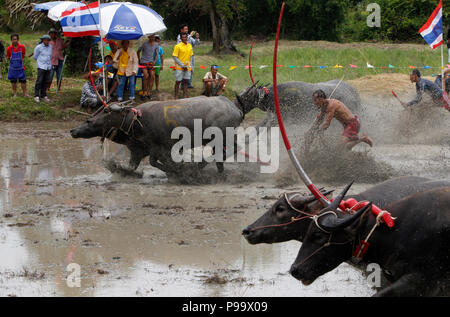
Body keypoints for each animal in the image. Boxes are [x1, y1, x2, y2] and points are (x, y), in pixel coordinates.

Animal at [72, 89, 258, 174]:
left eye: (106, 111)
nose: (73, 130)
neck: (137, 121)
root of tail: (235, 107)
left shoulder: (161, 148)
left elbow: (157, 162)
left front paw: (178, 171)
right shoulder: (138, 151)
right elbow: (133, 167)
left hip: (223, 136)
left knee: (231, 149)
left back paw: (198, 167)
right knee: (223, 153)